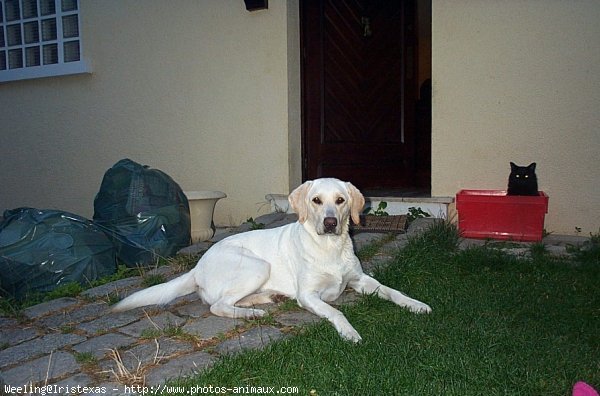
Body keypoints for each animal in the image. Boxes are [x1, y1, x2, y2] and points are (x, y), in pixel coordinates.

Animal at [113, 178, 432, 342]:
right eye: (316, 200)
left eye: (340, 201)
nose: (330, 222)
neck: (328, 247)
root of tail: (197, 265)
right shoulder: (309, 295)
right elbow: (336, 312)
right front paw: (349, 331)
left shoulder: (361, 280)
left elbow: (393, 291)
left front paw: (416, 304)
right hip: (257, 265)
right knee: (218, 306)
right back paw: (253, 313)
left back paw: (264, 300)